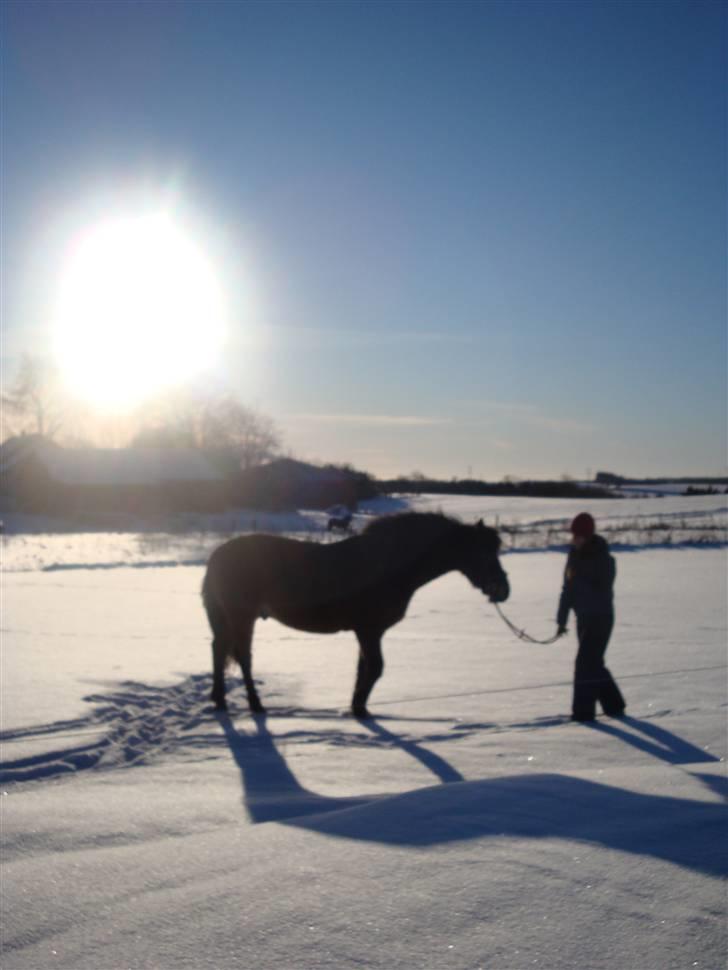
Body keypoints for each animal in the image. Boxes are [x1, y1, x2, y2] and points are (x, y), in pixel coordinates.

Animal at [199, 510, 510, 716]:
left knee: (218, 650)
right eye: (482, 553)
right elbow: (375, 668)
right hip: (242, 617)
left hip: (228, 619)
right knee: (243, 657)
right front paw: (359, 709)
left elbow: (364, 668)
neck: (389, 565)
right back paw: (255, 704)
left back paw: (220, 700)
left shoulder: (368, 632)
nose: (503, 590)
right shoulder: (368, 630)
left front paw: (357, 706)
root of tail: (218, 555)